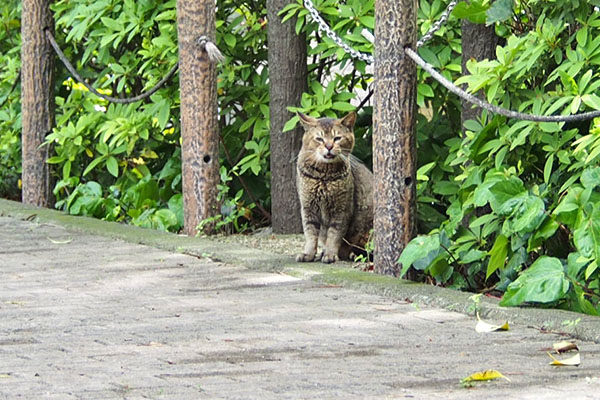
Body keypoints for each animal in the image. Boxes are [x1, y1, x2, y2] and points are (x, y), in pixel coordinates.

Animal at [294, 111, 372, 264]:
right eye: (319, 138)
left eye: (337, 138)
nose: (329, 146)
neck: (324, 176)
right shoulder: (307, 208)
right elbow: (310, 234)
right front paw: (308, 254)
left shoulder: (342, 210)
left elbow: (334, 235)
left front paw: (330, 254)